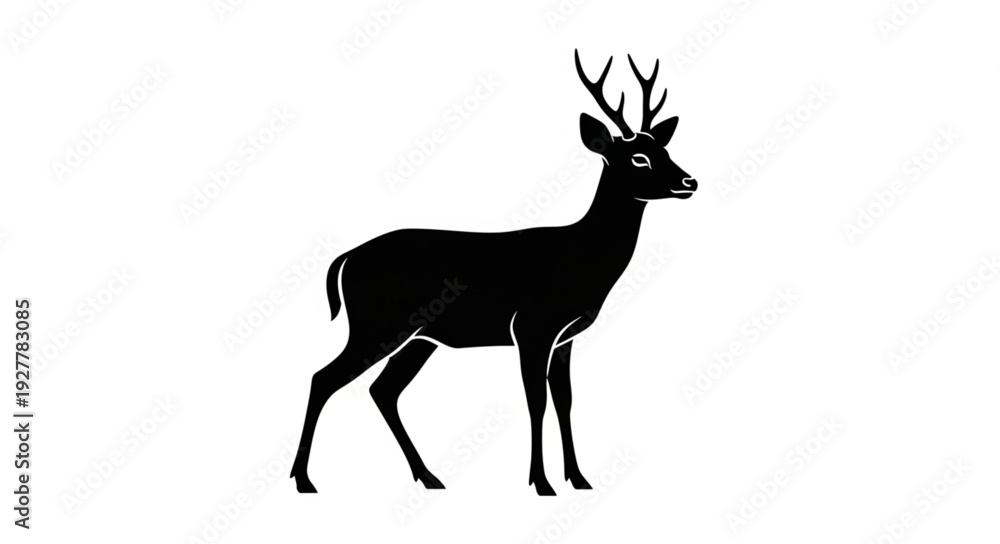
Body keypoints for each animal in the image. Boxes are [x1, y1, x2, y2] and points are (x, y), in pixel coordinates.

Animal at [290, 50, 697, 496]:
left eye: (664, 150)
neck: (582, 261)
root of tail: (345, 259)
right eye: (638, 158)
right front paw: (541, 482)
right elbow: (536, 400)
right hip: (377, 322)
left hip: (419, 337)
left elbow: (565, 400)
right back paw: (304, 479)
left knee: (382, 390)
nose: (689, 181)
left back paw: (429, 477)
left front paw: (579, 478)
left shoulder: (565, 336)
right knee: (324, 378)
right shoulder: (532, 326)